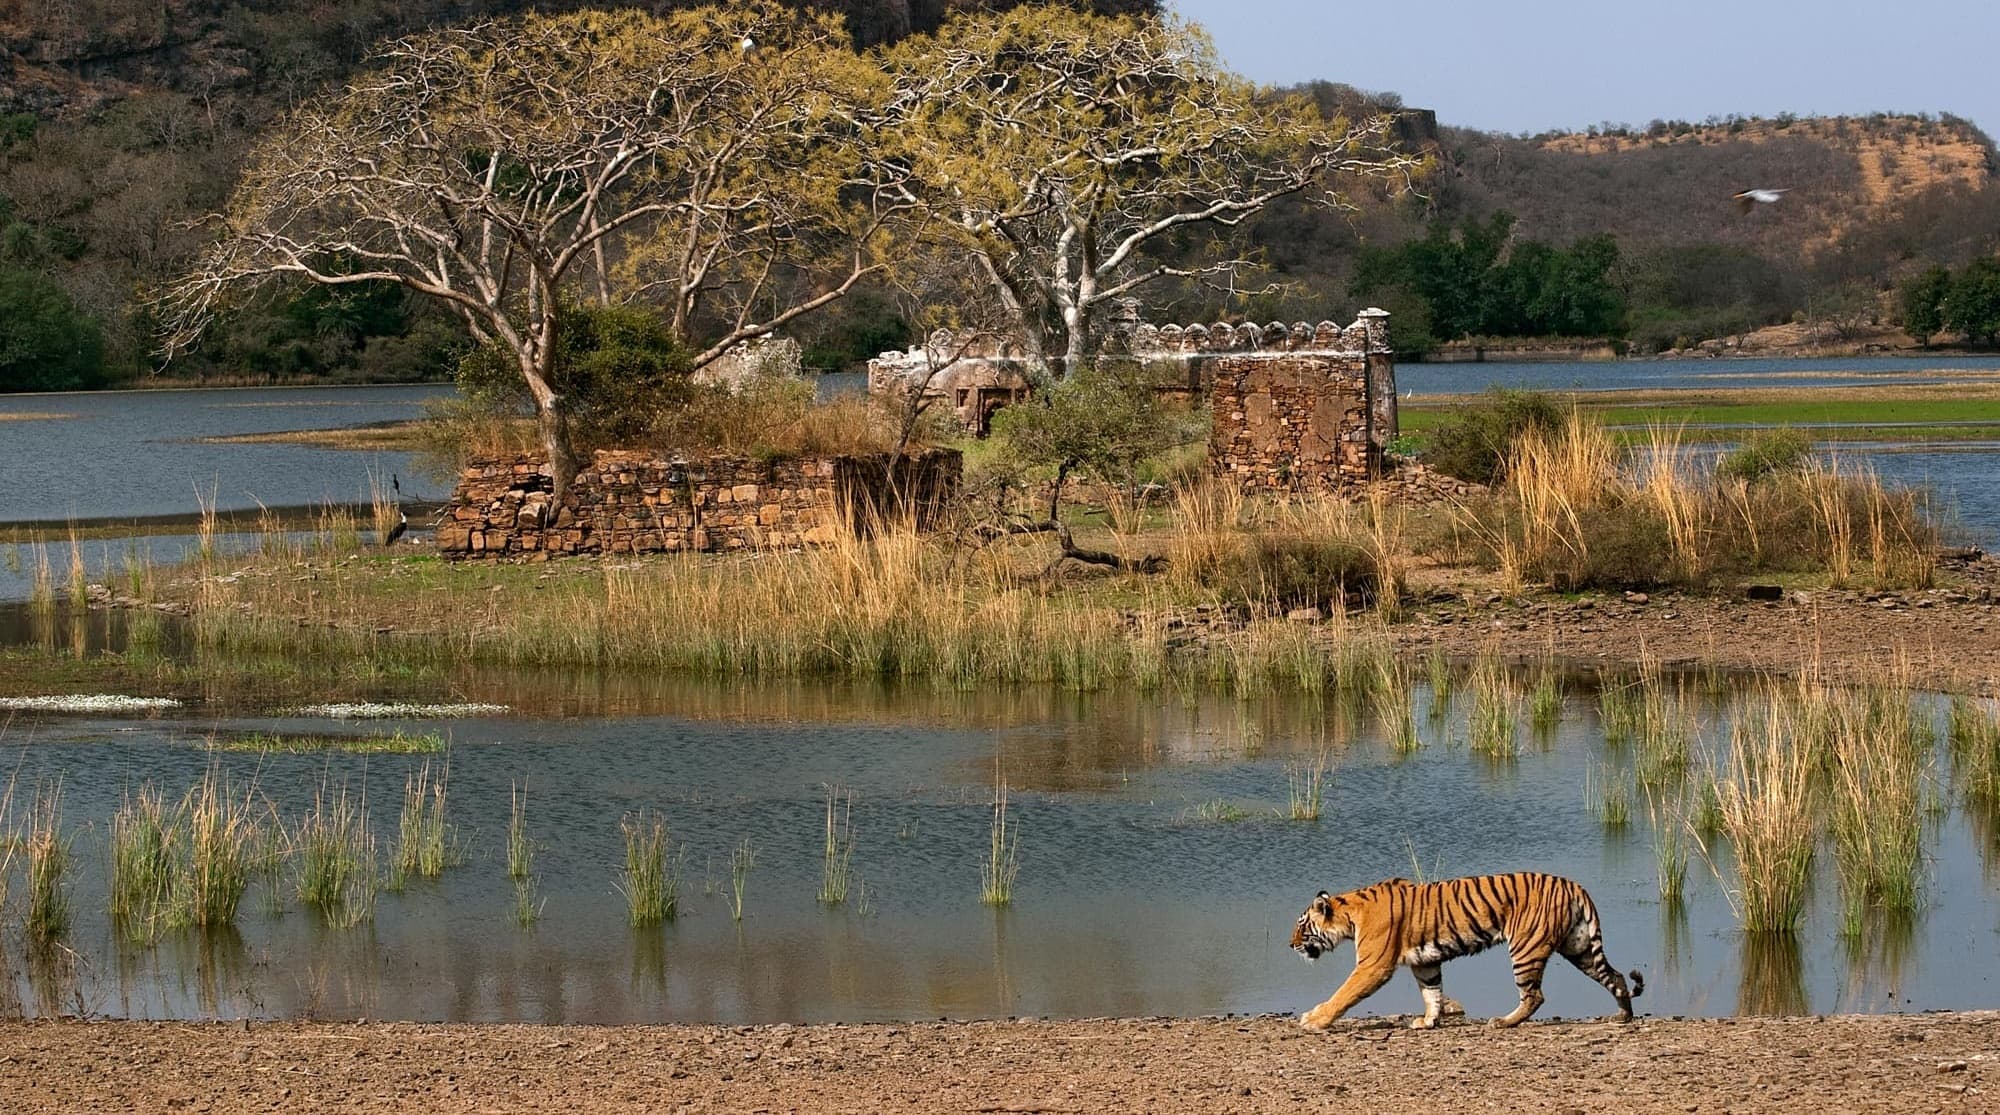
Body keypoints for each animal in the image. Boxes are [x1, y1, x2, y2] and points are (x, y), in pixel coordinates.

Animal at [1296, 875, 1640, 1031]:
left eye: (1301, 928)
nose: (1291, 945)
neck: (1350, 913)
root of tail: (1573, 885)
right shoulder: (1425, 962)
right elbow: (1432, 992)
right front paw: (1428, 1021)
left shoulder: (1373, 966)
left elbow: (1343, 994)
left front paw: (1315, 1019)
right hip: (1579, 947)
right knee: (1616, 977)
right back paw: (1622, 1015)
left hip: (1526, 949)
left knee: (1534, 996)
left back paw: (1503, 1022)